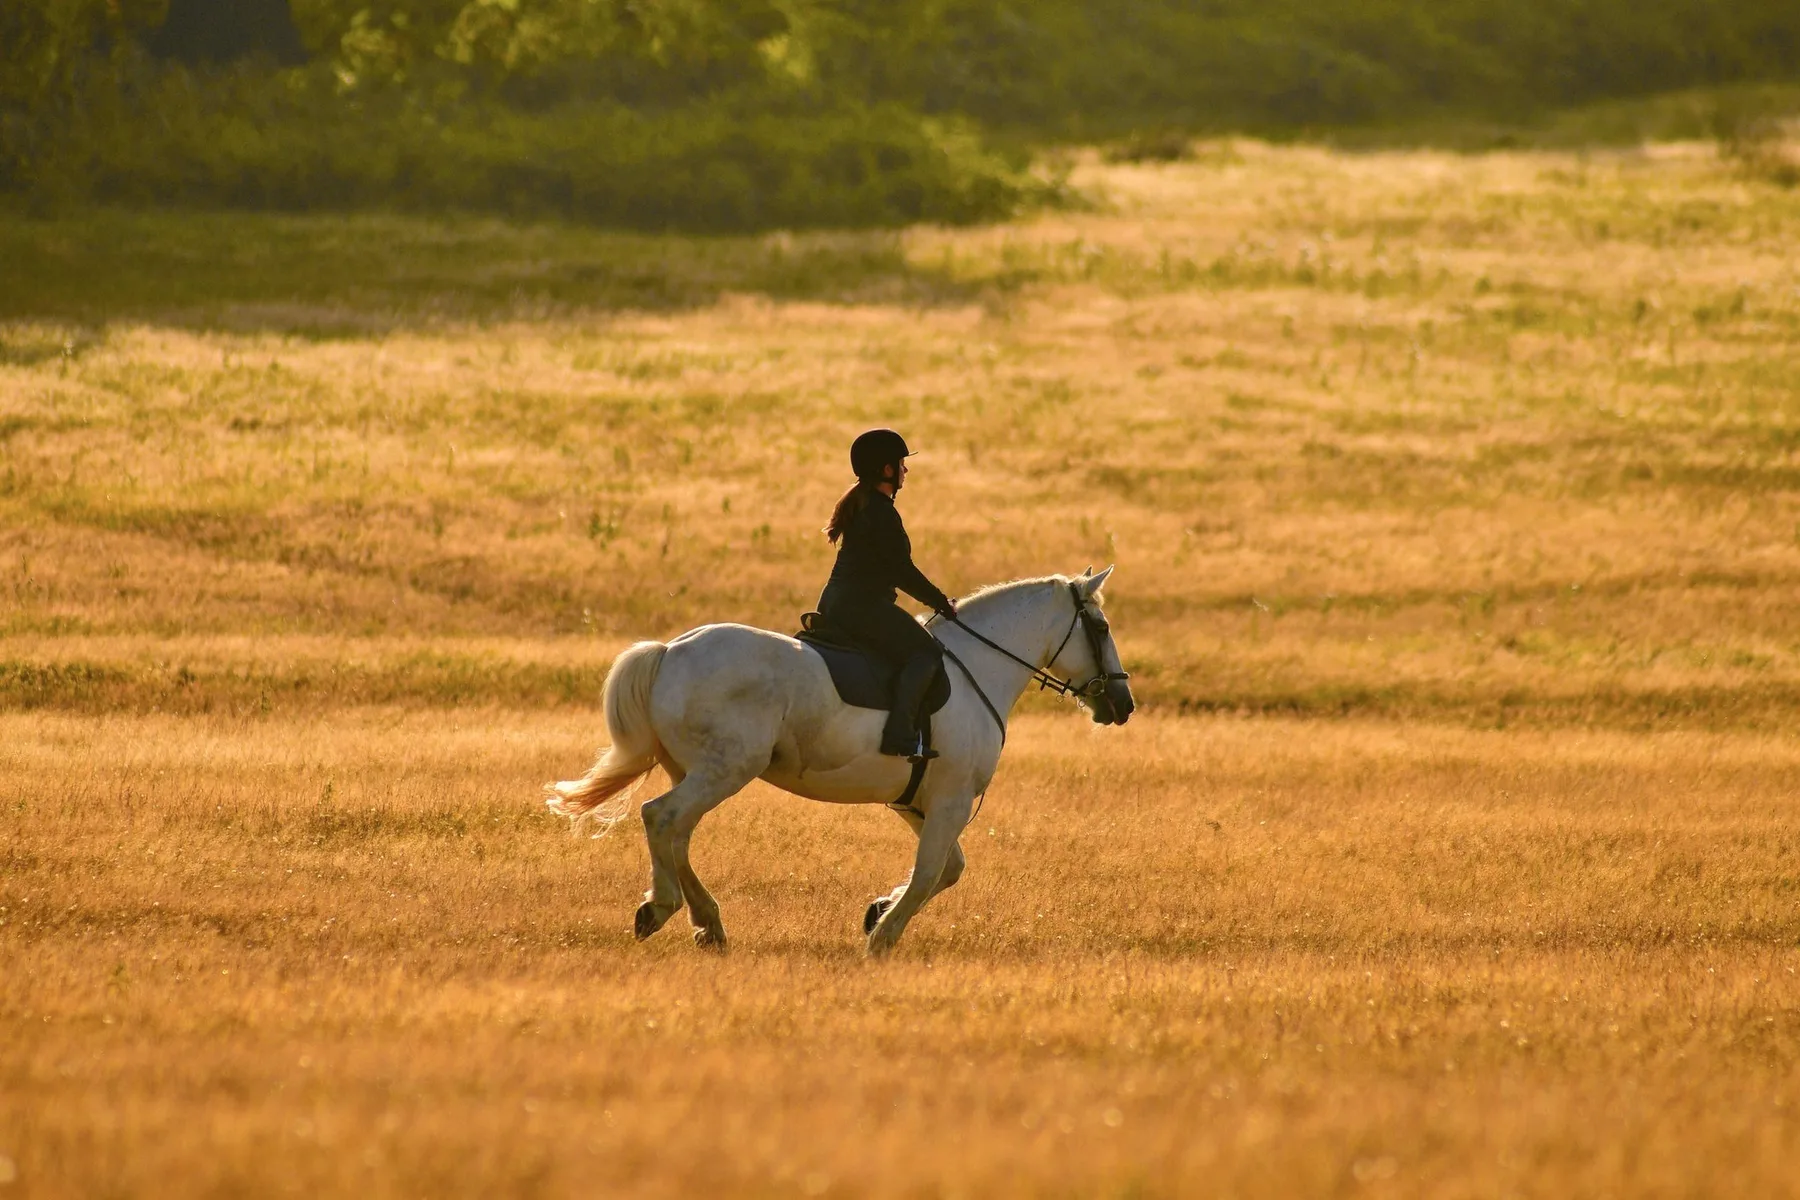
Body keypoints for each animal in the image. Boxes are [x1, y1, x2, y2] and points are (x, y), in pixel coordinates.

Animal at [546, 566, 1135, 956]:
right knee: (661, 817)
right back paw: (663, 909)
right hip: (724, 771)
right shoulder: (949, 800)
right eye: (1103, 628)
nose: (1122, 704)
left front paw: (877, 911)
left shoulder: (920, 802)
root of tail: (671, 650)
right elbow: (930, 873)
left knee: (676, 833)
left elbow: (949, 868)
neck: (979, 669)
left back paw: (707, 923)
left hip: (697, 770)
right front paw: (883, 937)